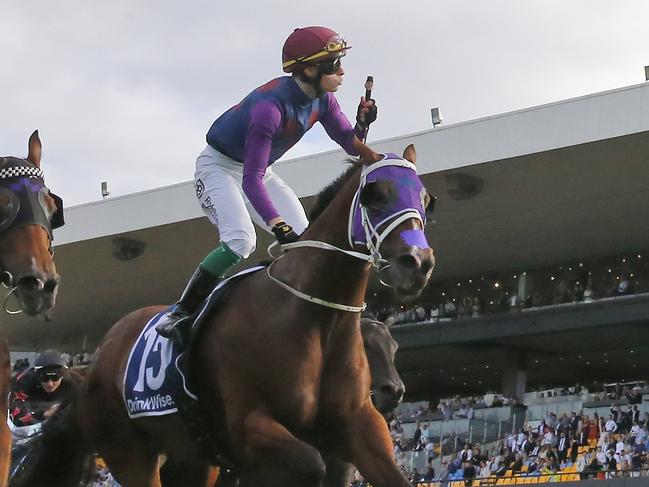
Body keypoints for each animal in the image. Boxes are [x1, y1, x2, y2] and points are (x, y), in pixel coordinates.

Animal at [12, 142, 432, 487]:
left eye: (425, 198)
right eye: (375, 194)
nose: (417, 263)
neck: (313, 319)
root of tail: (96, 359)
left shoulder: (361, 429)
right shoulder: (250, 430)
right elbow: (311, 465)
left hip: (192, 458)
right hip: (128, 452)